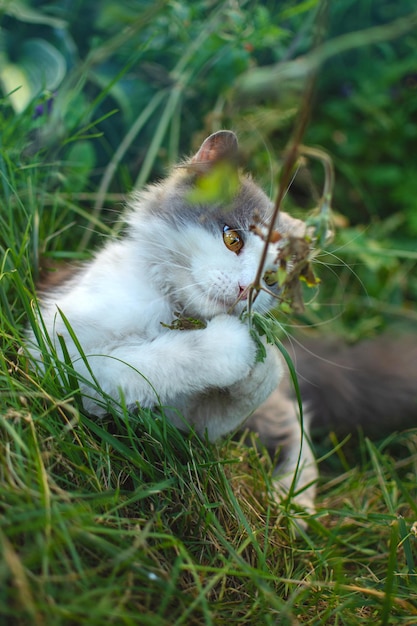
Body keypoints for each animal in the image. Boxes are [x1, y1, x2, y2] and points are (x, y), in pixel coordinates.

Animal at [26, 129, 416, 516]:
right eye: (233, 239)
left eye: (271, 279)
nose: (246, 291)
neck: (177, 311)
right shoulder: (52, 351)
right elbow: (141, 364)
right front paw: (234, 345)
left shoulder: (190, 427)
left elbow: (242, 394)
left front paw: (259, 363)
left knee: (295, 426)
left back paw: (291, 506)